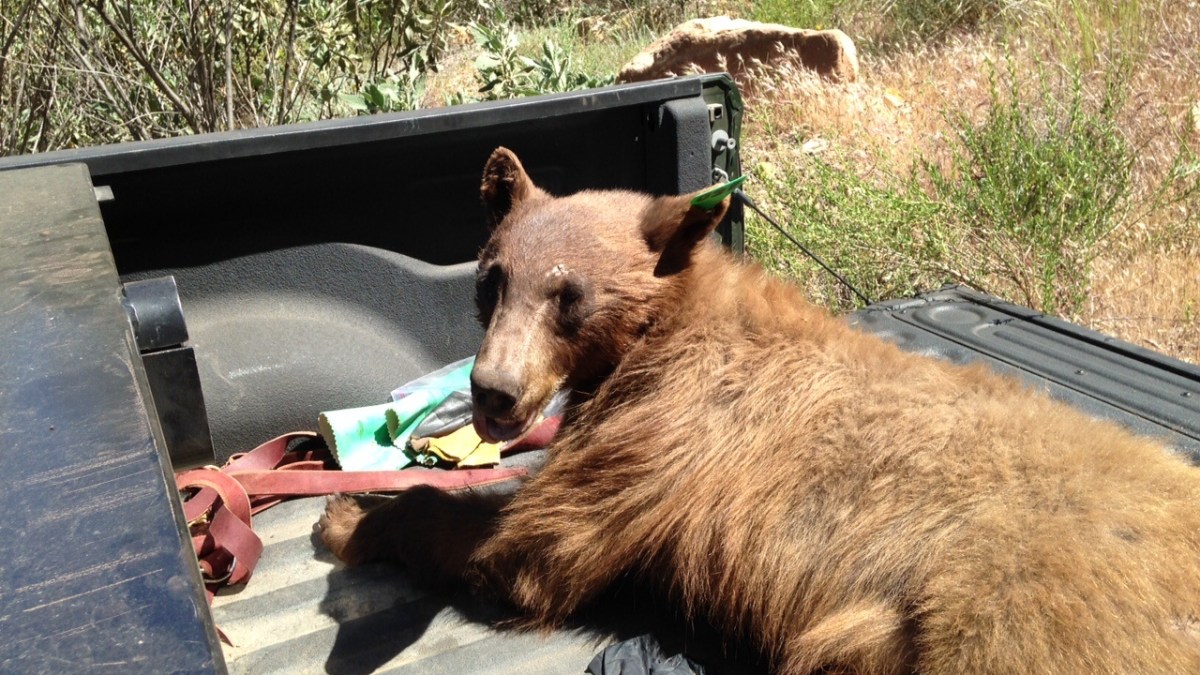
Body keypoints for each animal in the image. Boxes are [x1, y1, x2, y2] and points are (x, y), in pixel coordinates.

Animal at [319, 147, 1200, 674]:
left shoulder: (663, 430)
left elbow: (535, 545)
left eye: (569, 296)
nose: (494, 390)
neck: (664, 327)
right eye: (491, 279)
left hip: (1020, 609)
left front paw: (350, 515)